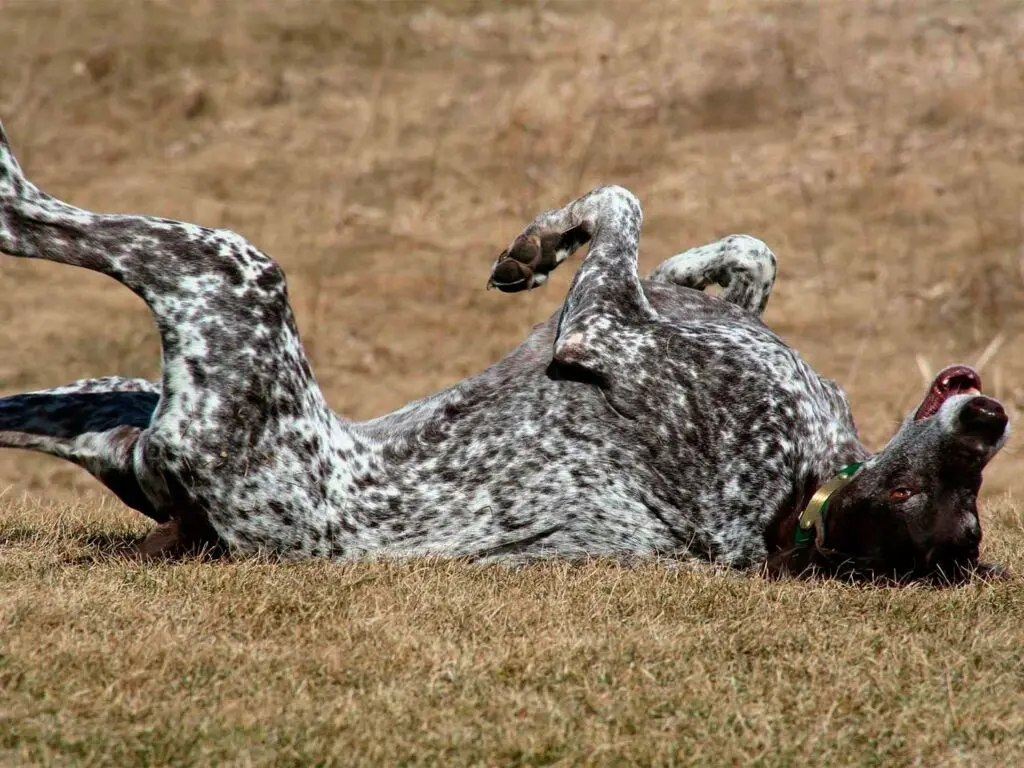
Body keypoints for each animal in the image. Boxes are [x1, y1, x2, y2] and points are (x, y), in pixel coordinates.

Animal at [0, 117, 1007, 581]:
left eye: (937, 509)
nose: (991, 419)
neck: (804, 489)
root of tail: (206, 527)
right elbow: (742, 254)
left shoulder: (605, 326)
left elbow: (622, 201)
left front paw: (539, 245)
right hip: (110, 394)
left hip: (230, 276)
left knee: (21, 212)